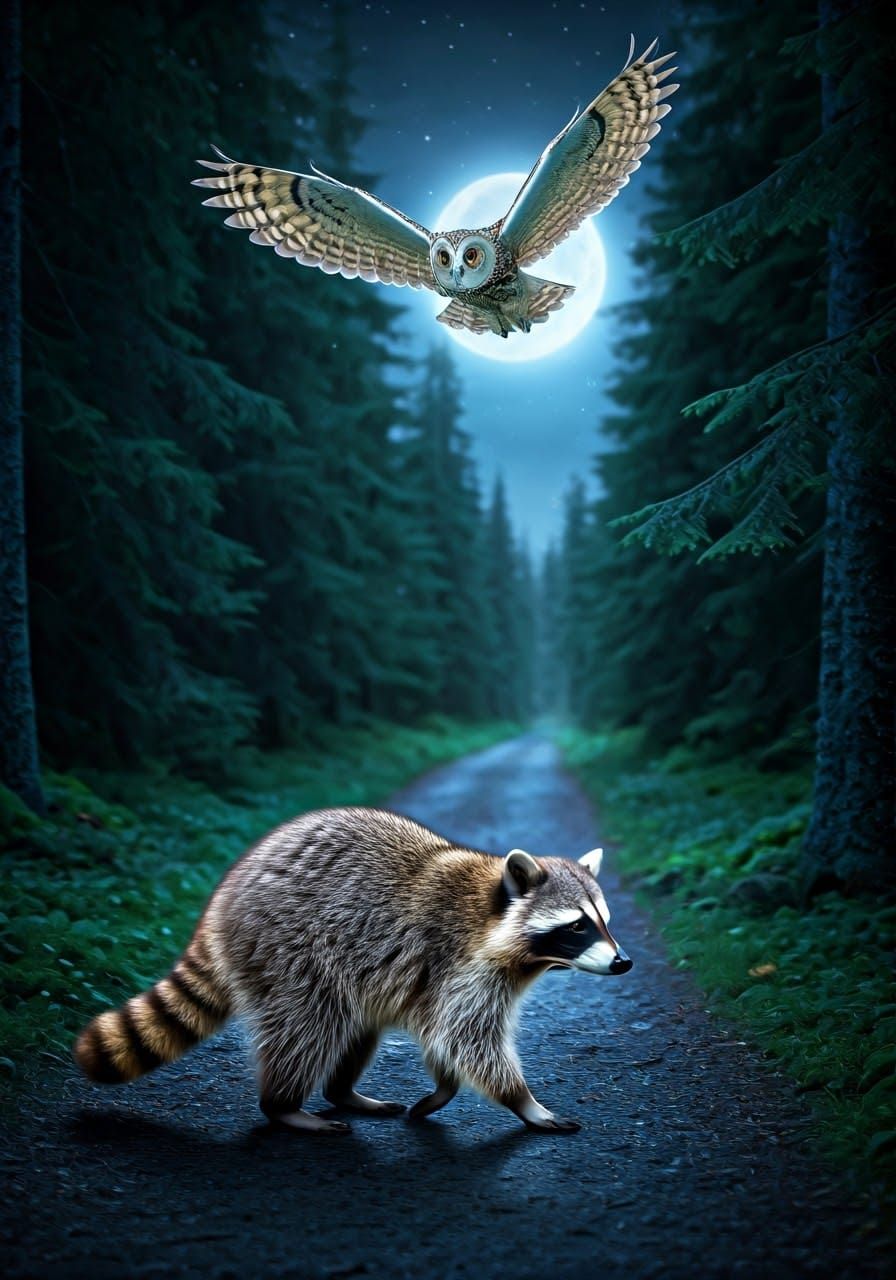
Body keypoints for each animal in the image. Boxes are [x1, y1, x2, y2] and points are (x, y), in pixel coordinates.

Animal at [74, 807, 632, 1134]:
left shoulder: (455, 976)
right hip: (288, 948)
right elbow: (467, 1037)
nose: (623, 962)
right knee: (309, 1025)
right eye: (577, 926)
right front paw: (524, 1101)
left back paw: (342, 1092)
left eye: (604, 920)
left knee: (356, 1026)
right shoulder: (457, 961)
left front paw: (444, 1088)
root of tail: (221, 899)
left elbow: (445, 1035)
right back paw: (283, 1104)